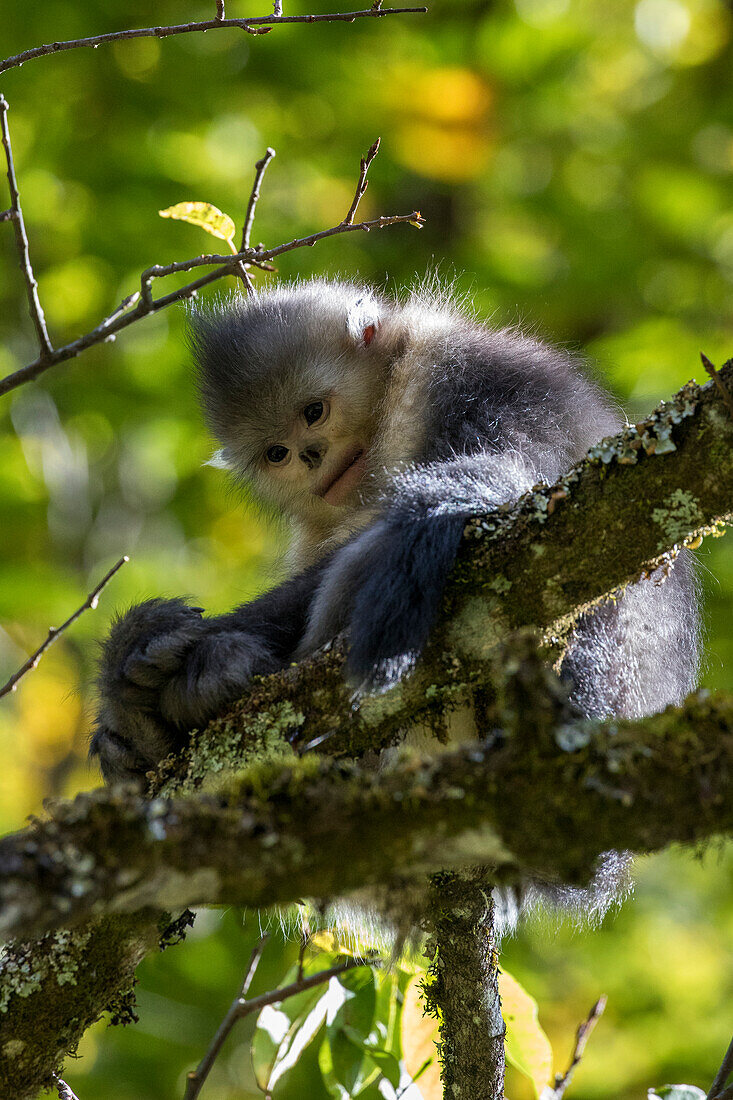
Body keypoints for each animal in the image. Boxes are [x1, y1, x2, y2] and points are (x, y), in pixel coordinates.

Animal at [89, 272, 695, 919]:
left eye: (314, 412)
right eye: (277, 453)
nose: (311, 458)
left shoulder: (465, 376)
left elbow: (514, 481)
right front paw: (134, 684)